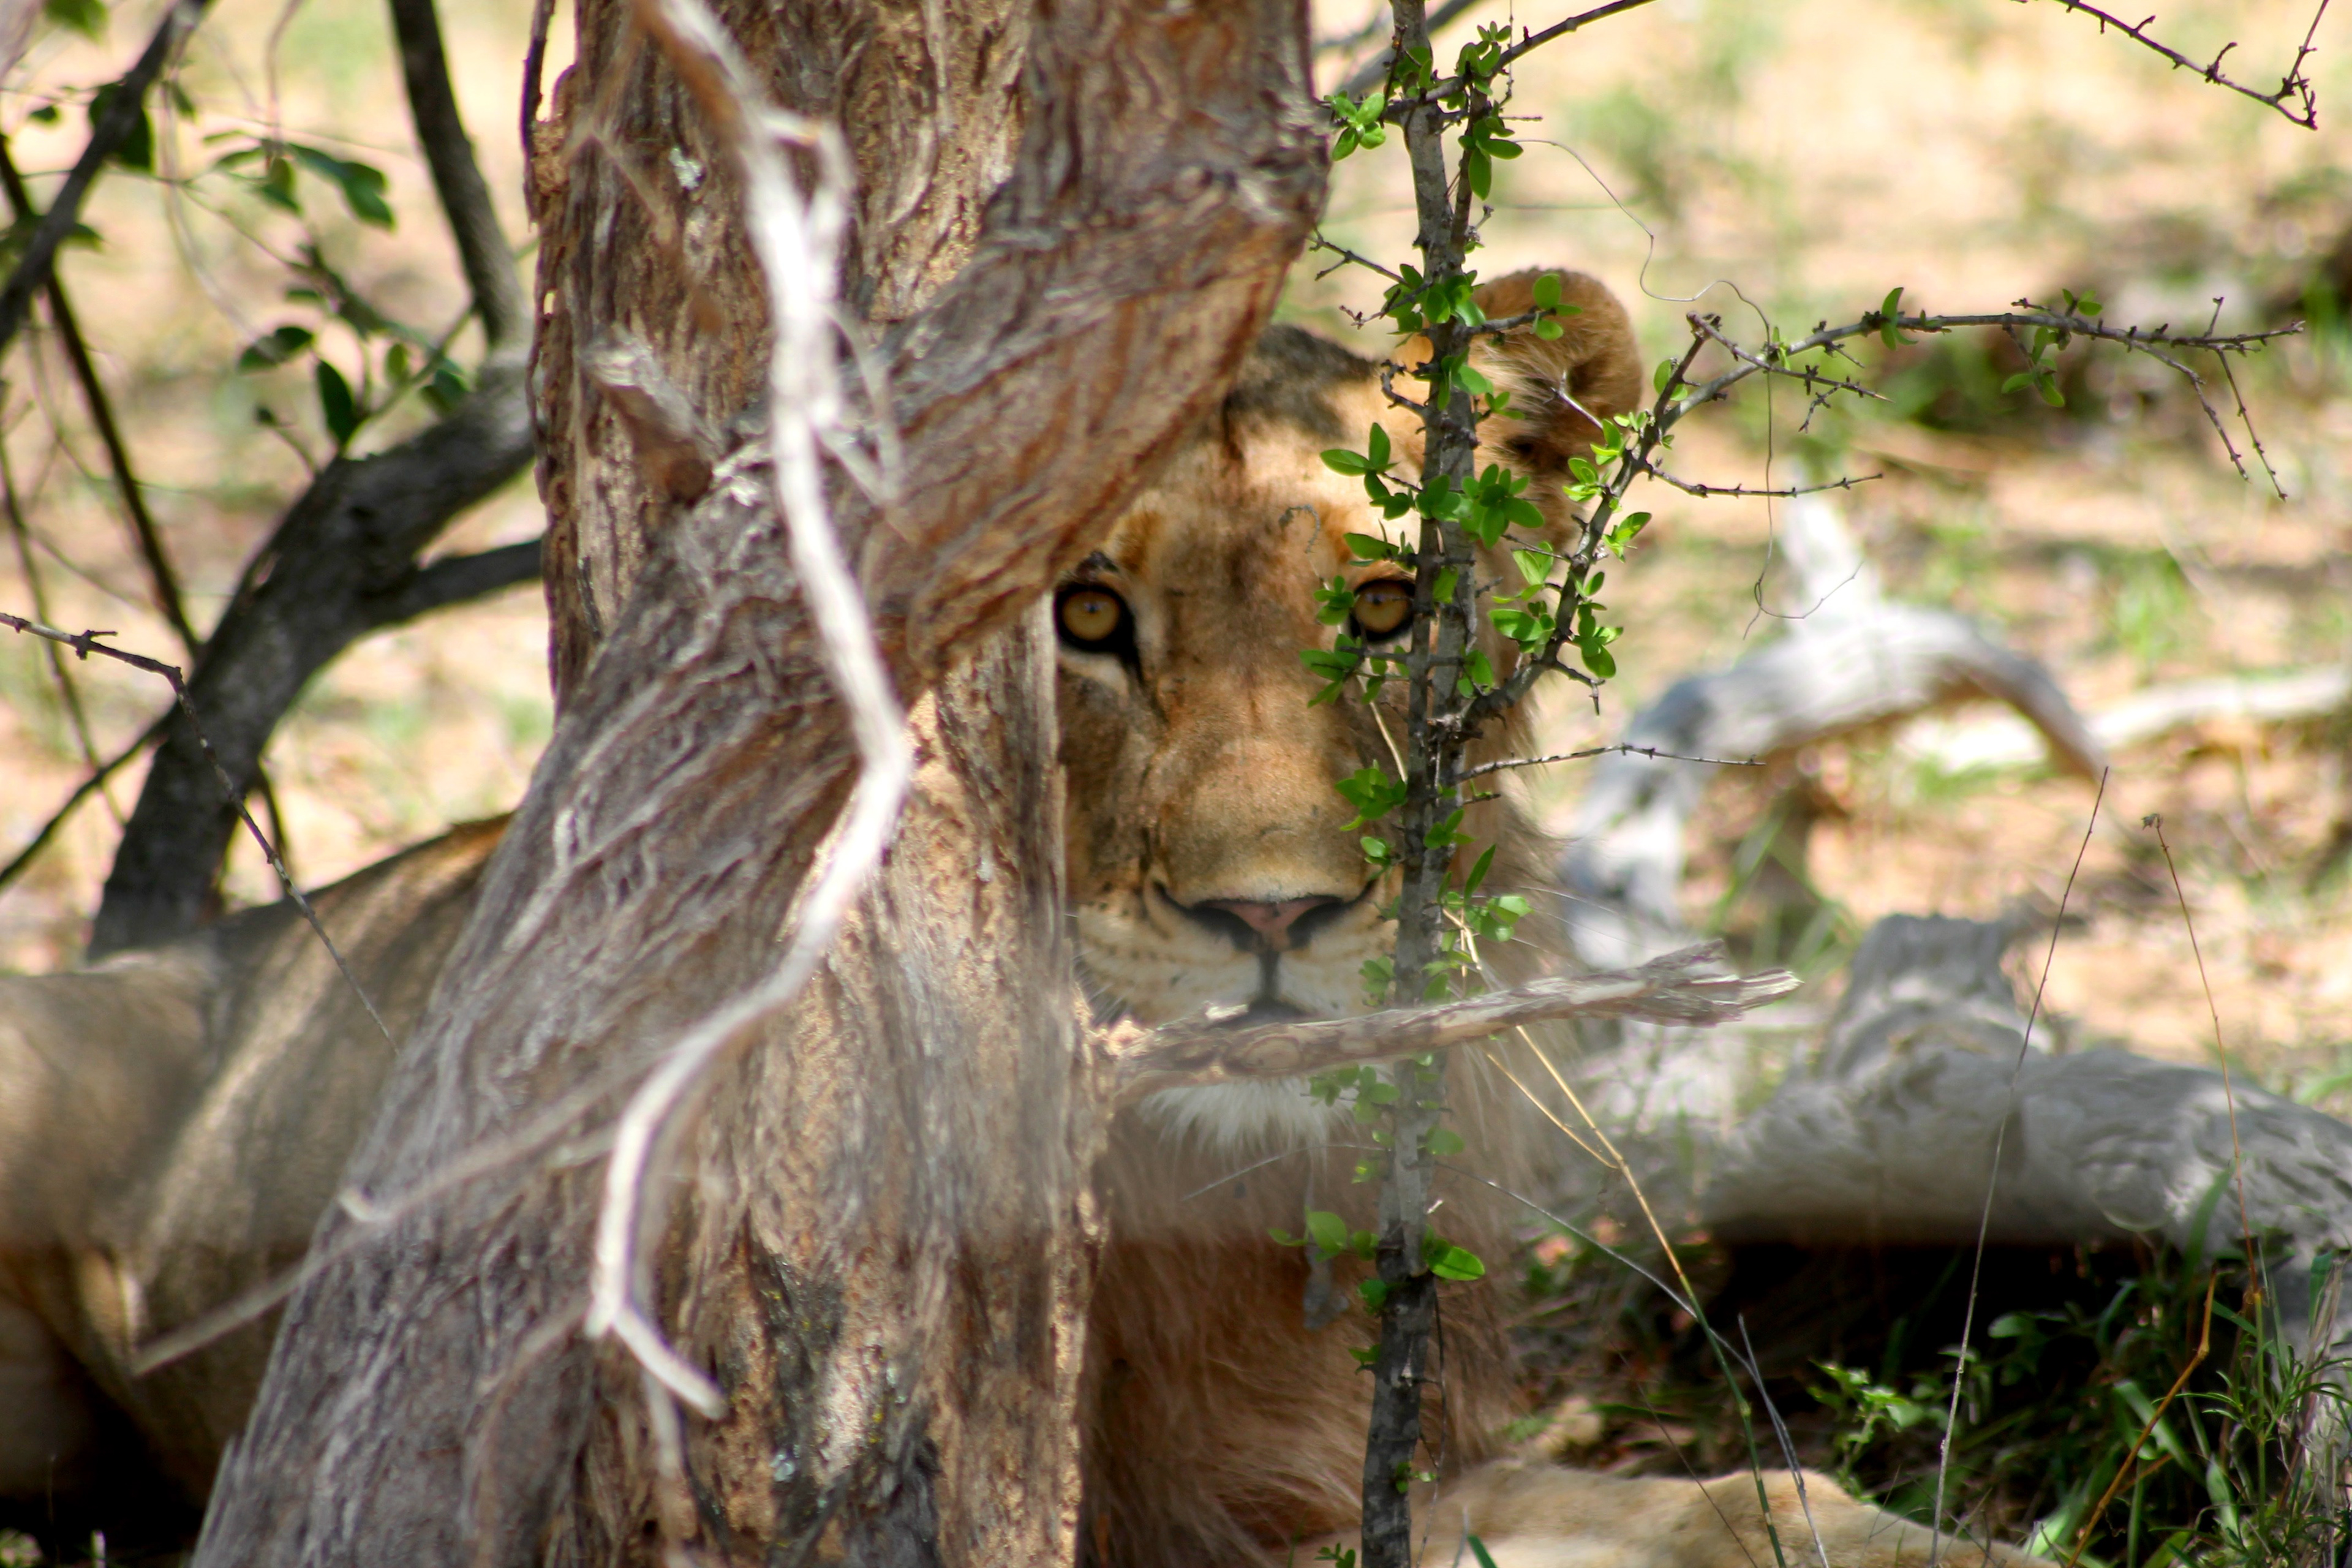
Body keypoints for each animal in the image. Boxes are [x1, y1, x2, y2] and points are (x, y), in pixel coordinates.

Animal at [0, 269, 2039, 1566]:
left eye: (1384, 611)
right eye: (1083, 617)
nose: (1277, 913)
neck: (1216, 1216)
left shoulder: (1355, 1470)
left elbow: (1755, 1504)